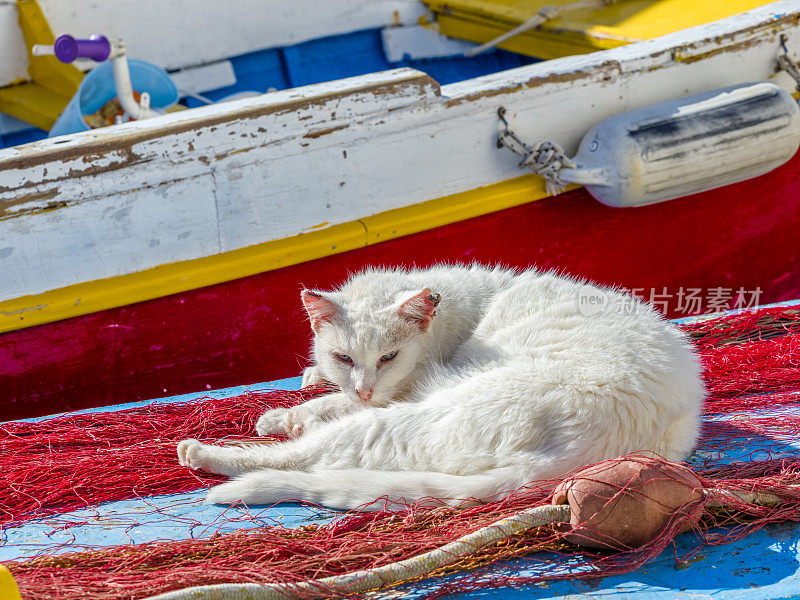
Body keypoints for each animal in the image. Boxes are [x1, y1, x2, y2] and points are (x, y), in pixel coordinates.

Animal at [178, 266, 704, 510]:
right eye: (344, 358)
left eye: (388, 357)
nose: (364, 389)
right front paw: (301, 394)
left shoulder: (404, 391)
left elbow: (329, 409)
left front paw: (293, 414)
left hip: (410, 420)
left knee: (304, 457)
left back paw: (206, 454)